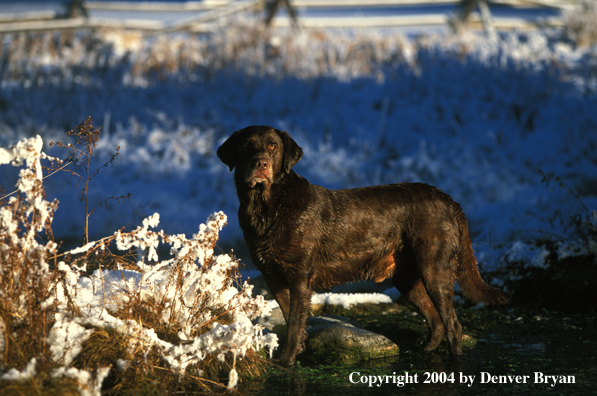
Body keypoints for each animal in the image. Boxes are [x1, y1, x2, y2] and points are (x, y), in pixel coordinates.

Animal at [217, 126, 506, 366]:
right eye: (246, 146)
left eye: (273, 147)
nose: (261, 163)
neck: (267, 207)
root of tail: (448, 199)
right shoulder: (273, 276)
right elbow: (290, 318)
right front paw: (296, 351)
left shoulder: (299, 278)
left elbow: (295, 323)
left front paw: (287, 361)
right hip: (406, 277)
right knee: (436, 321)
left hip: (435, 270)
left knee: (453, 325)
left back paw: (454, 361)